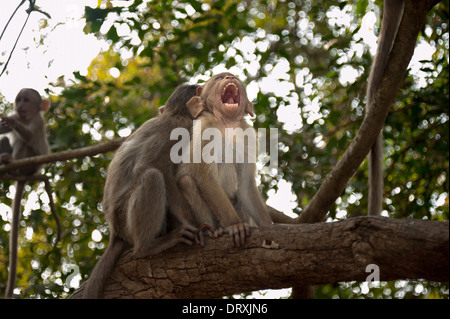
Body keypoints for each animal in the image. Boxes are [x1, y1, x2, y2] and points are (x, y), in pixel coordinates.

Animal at [82, 84, 209, 298]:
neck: (176, 113)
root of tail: (114, 230)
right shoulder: (177, 130)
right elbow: (153, 166)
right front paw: (190, 221)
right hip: (124, 216)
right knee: (152, 177)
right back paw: (147, 247)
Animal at [174, 74, 272, 249]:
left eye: (234, 77)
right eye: (218, 78)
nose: (228, 76)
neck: (228, 125)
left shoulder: (248, 134)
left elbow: (246, 185)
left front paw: (268, 226)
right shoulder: (206, 128)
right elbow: (205, 178)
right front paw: (235, 225)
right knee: (186, 181)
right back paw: (214, 230)